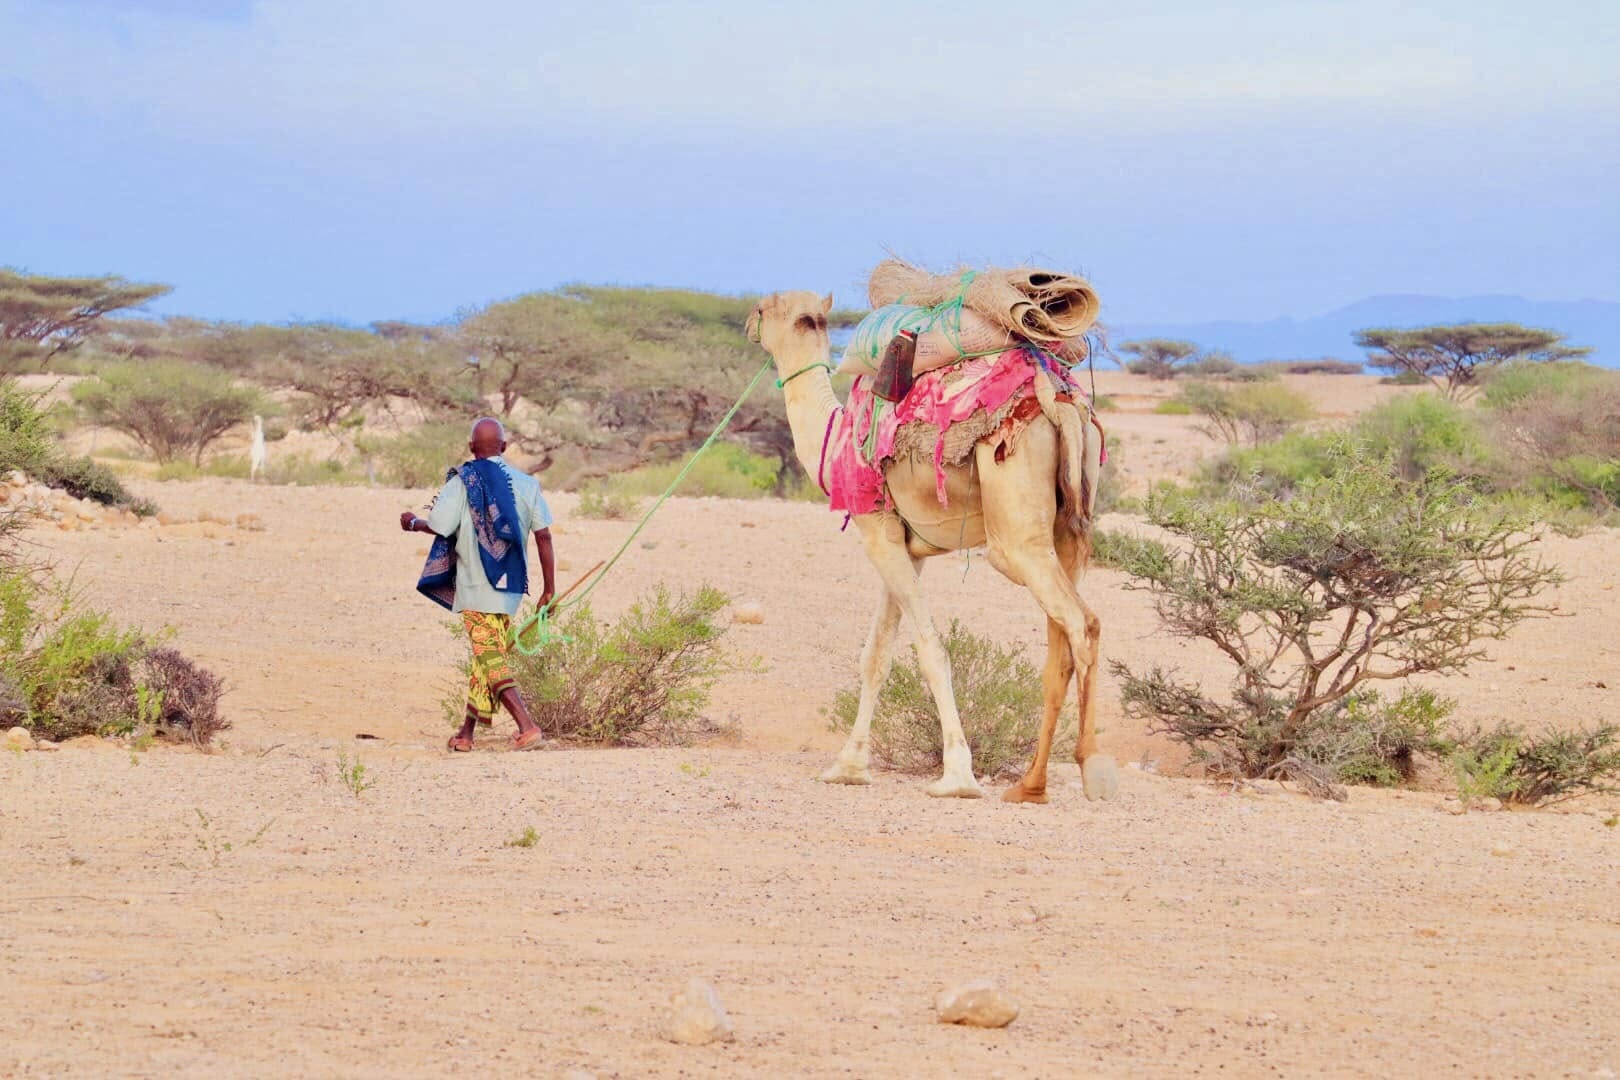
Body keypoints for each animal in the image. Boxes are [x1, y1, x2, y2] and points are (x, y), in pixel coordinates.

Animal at [746, 291, 1119, 802]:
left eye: (763, 308)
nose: (747, 323)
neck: (835, 438)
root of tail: (1057, 402)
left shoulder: (876, 531)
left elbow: (930, 650)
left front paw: (957, 777)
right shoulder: (902, 545)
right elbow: (876, 655)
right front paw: (848, 767)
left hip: (1015, 534)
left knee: (1082, 622)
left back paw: (1091, 768)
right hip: (1069, 532)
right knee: (1060, 643)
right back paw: (1030, 785)